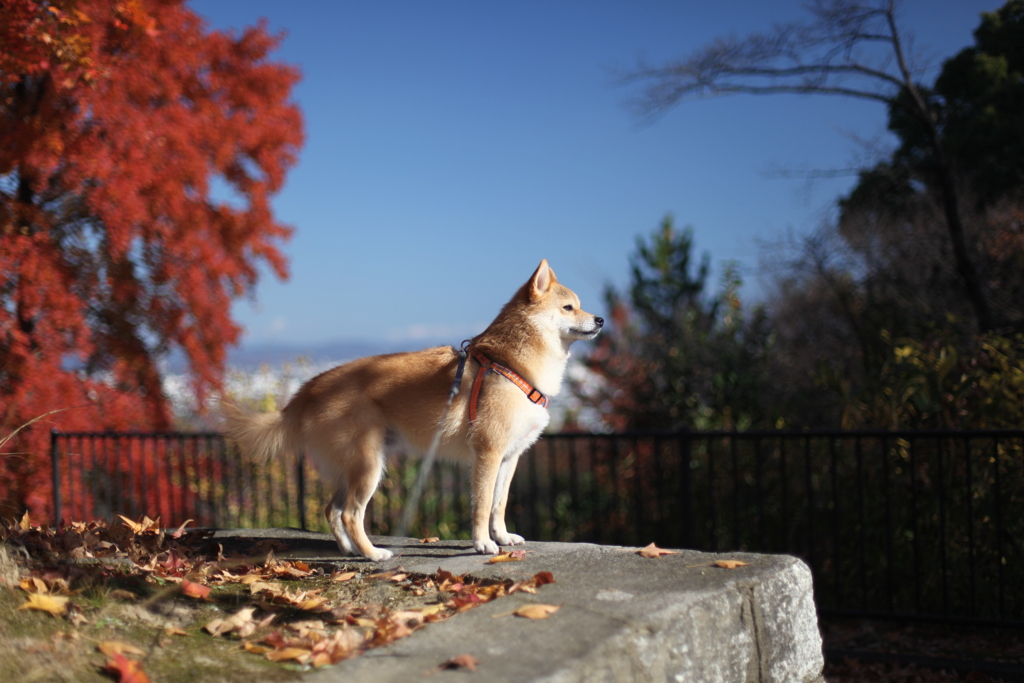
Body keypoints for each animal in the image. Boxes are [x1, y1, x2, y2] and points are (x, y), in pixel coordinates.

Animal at [224, 262, 598, 561]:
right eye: (569, 307)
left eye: (579, 306)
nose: (600, 319)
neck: (508, 365)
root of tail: (308, 389)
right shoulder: (487, 454)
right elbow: (480, 506)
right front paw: (482, 544)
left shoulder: (509, 457)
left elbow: (498, 503)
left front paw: (502, 537)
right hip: (368, 465)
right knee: (350, 514)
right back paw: (372, 554)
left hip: (352, 466)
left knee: (333, 510)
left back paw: (349, 550)